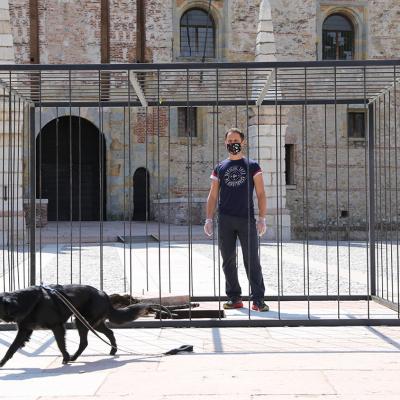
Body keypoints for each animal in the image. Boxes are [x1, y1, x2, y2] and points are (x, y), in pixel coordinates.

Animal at [0, 284, 152, 366]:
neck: (24, 302)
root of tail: (104, 294)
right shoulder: (24, 331)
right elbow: (11, 349)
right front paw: (2, 363)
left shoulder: (57, 327)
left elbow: (61, 344)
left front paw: (66, 358)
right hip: (93, 323)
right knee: (109, 332)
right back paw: (113, 350)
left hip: (81, 322)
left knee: (84, 342)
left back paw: (74, 357)